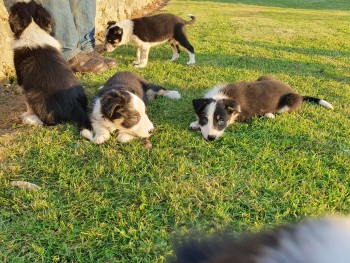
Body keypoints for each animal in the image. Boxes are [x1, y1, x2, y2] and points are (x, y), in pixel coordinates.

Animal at [8, 0, 91, 134]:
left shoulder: (21, 78)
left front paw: (27, 114)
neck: (32, 27)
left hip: (34, 94)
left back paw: (31, 120)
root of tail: (76, 106)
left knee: (49, 121)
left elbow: (27, 104)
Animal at [190, 76, 332, 141]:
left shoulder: (244, 113)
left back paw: (269, 115)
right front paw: (196, 123)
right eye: (204, 120)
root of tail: (298, 94)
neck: (222, 97)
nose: (211, 138)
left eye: (221, 121)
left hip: (290, 101)